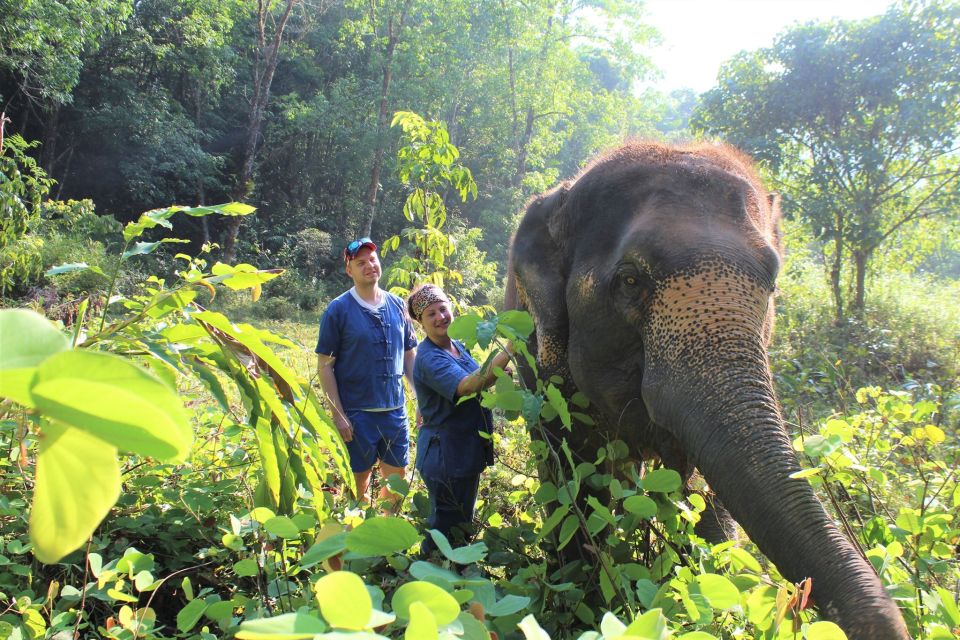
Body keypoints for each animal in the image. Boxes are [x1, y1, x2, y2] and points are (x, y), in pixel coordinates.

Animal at [506, 141, 912, 640]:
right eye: (630, 280)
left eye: (773, 283)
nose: (803, 598)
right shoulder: (541, 365)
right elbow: (573, 475)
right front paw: (584, 605)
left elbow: (709, 488)